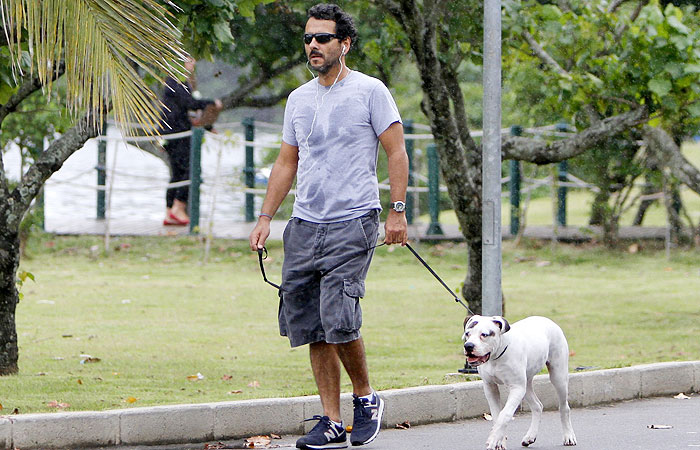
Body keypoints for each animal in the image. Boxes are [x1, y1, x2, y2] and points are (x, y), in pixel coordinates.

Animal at [462, 316, 576, 450]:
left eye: (484, 334)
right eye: (467, 333)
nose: (468, 346)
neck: (496, 357)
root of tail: (547, 320)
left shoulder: (516, 388)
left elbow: (504, 415)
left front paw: (494, 440)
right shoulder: (490, 387)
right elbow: (496, 416)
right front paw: (499, 441)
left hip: (558, 376)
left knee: (564, 407)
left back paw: (568, 436)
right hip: (526, 385)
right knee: (537, 406)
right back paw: (530, 436)